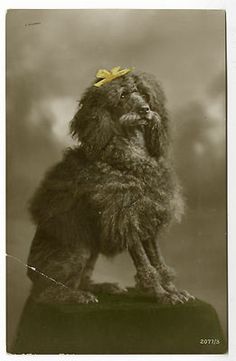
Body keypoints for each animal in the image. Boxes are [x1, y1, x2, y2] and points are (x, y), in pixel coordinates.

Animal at [27, 66, 194, 302]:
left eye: (144, 93)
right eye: (122, 96)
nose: (145, 109)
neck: (132, 158)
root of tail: (30, 273)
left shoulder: (145, 218)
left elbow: (157, 259)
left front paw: (172, 289)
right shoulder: (126, 219)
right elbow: (145, 263)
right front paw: (161, 294)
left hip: (92, 251)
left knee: (82, 279)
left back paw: (103, 287)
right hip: (78, 250)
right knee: (46, 293)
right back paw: (78, 296)